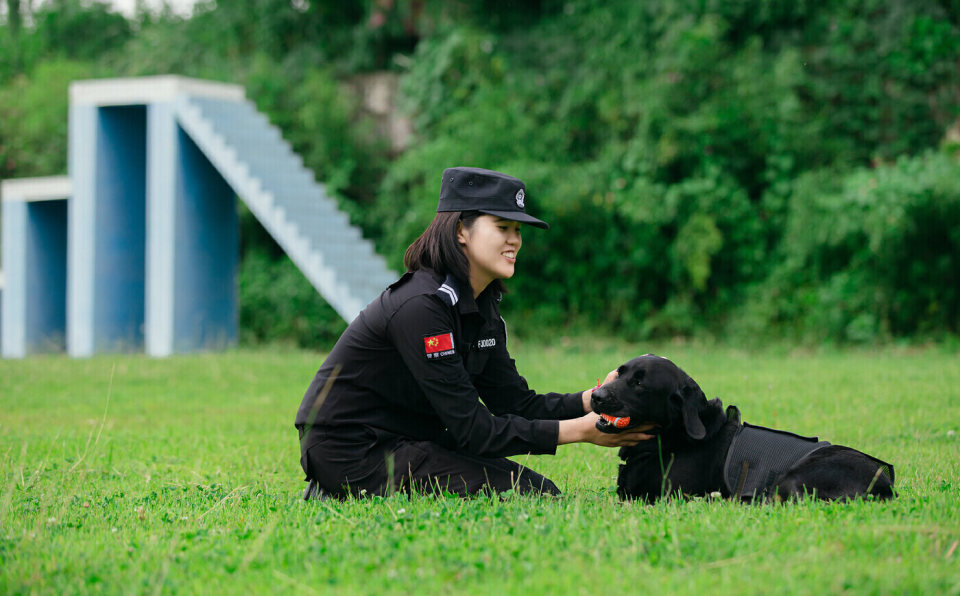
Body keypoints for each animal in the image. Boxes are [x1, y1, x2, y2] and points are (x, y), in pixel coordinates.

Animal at [588, 354, 896, 502]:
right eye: (619, 373)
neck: (675, 437)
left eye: (640, 383)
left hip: (791, 479)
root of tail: (885, 485)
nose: (596, 396)